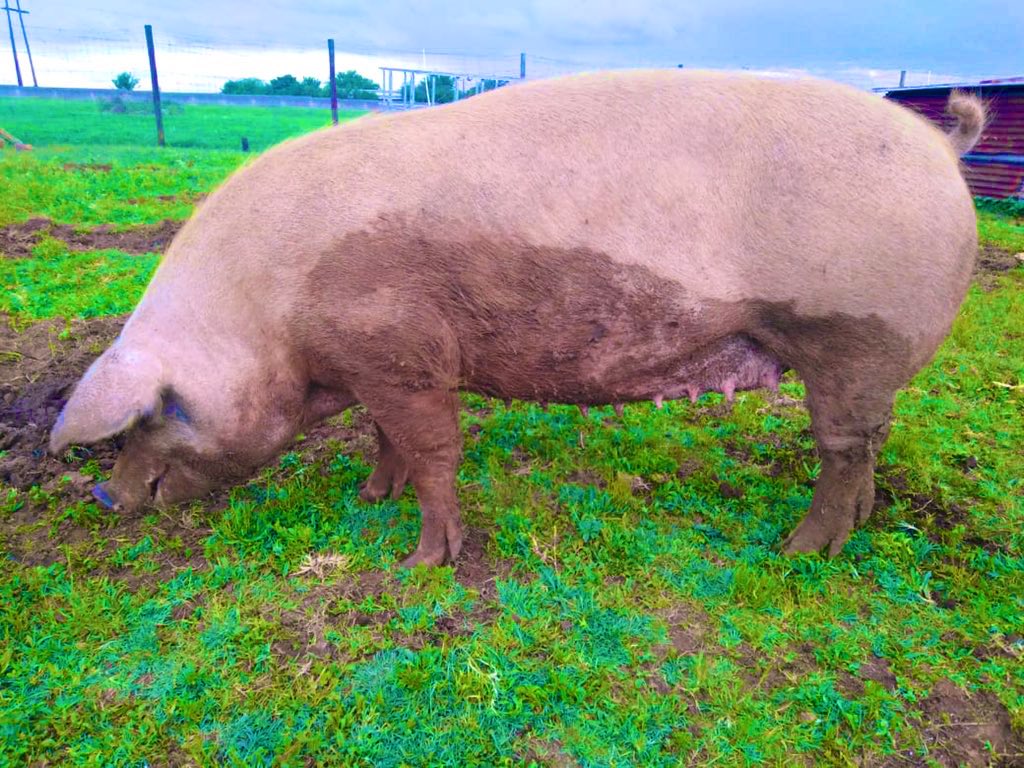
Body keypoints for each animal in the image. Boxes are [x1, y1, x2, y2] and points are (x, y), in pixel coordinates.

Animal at [50, 70, 984, 567]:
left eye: (151, 418)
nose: (103, 494)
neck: (265, 316)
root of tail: (941, 147)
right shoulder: (379, 365)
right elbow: (387, 439)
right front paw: (370, 495)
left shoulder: (401, 350)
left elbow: (435, 451)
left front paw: (423, 562)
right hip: (867, 362)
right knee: (869, 446)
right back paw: (847, 535)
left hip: (853, 337)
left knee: (842, 447)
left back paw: (798, 550)